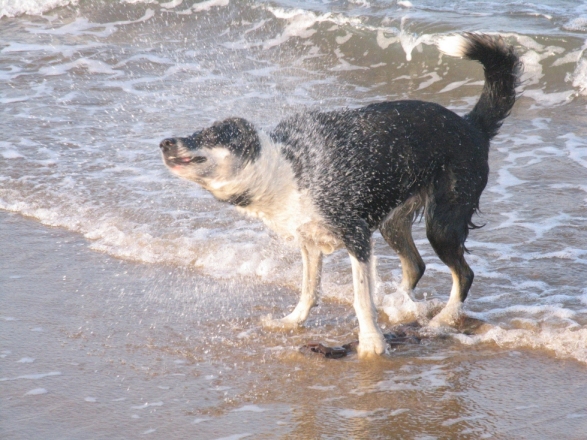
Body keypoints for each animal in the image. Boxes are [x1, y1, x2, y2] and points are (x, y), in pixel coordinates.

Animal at [160, 33, 520, 358]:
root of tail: (472, 126)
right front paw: (292, 321)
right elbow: (309, 288)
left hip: (443, 221)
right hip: (393, 222)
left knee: (463, 274)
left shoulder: (355, 234)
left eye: (208, 136)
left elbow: (360, 299)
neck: (285, 166)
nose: (164, 142)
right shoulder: (308, 239)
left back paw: (441, 320)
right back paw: (398, 305)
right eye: (196, 131)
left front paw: (372, 344)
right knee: (415, 265)